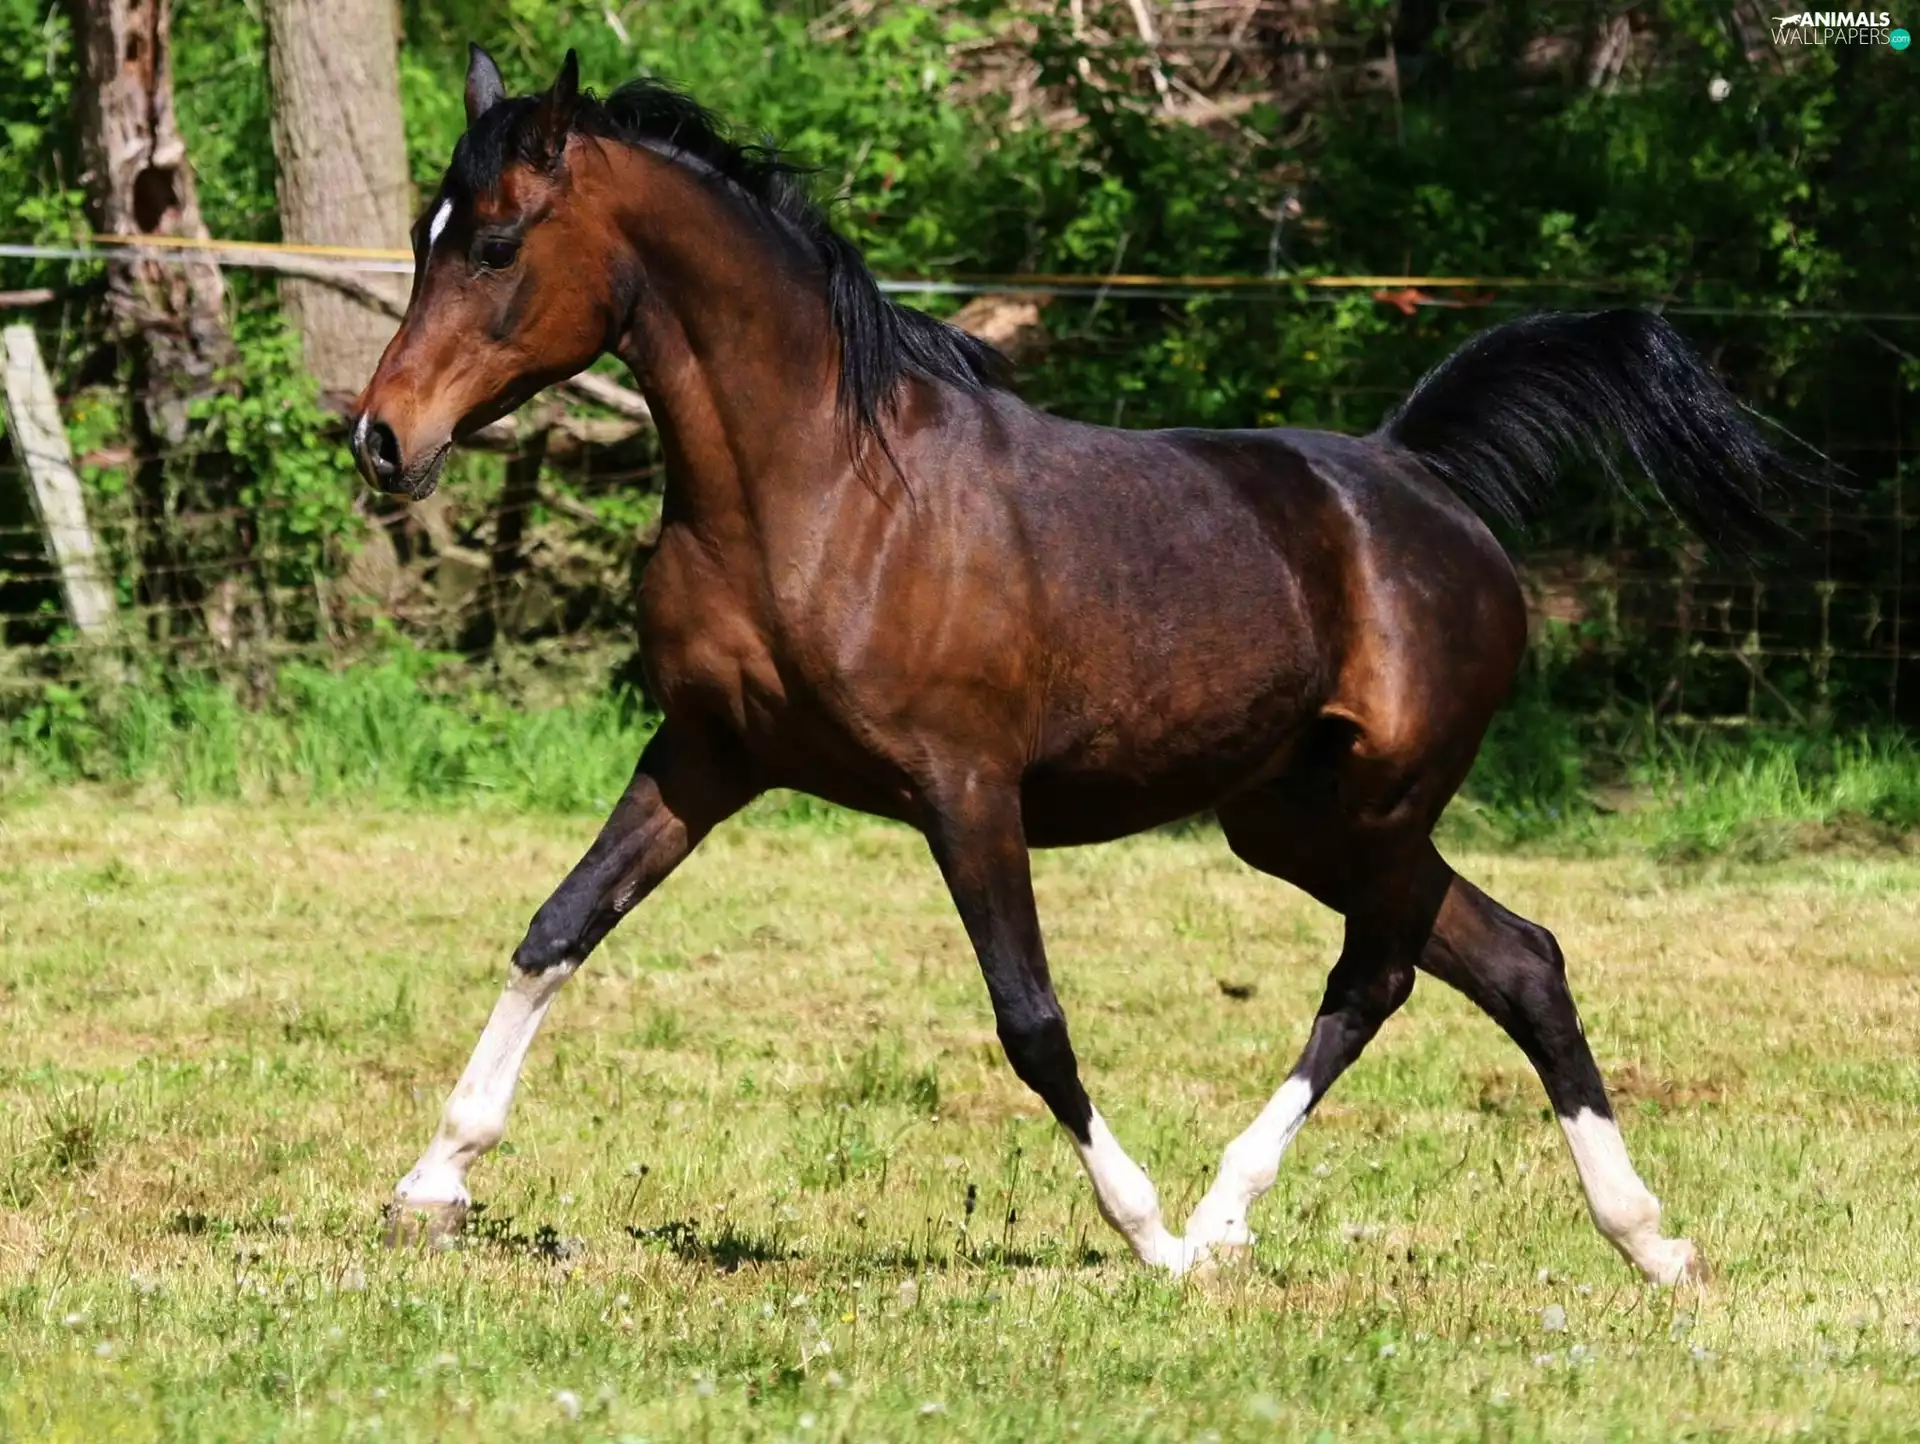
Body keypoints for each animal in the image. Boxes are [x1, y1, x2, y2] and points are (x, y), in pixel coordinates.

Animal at [352, 46, 1806, 1283]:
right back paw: (1643, 1239)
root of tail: (1418, 477)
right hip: (1294, 819)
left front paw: (1144, 1233)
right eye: (428, 237)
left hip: (1379, 809)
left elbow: (1030, 1018)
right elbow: (557, 928)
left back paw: (1220, 1221)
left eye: (495, 241)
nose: (380, 440)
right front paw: (433, 1181)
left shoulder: (964, 788)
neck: (820, 493)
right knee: (1517, 960)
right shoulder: (708, 755)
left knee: (1383, 974)